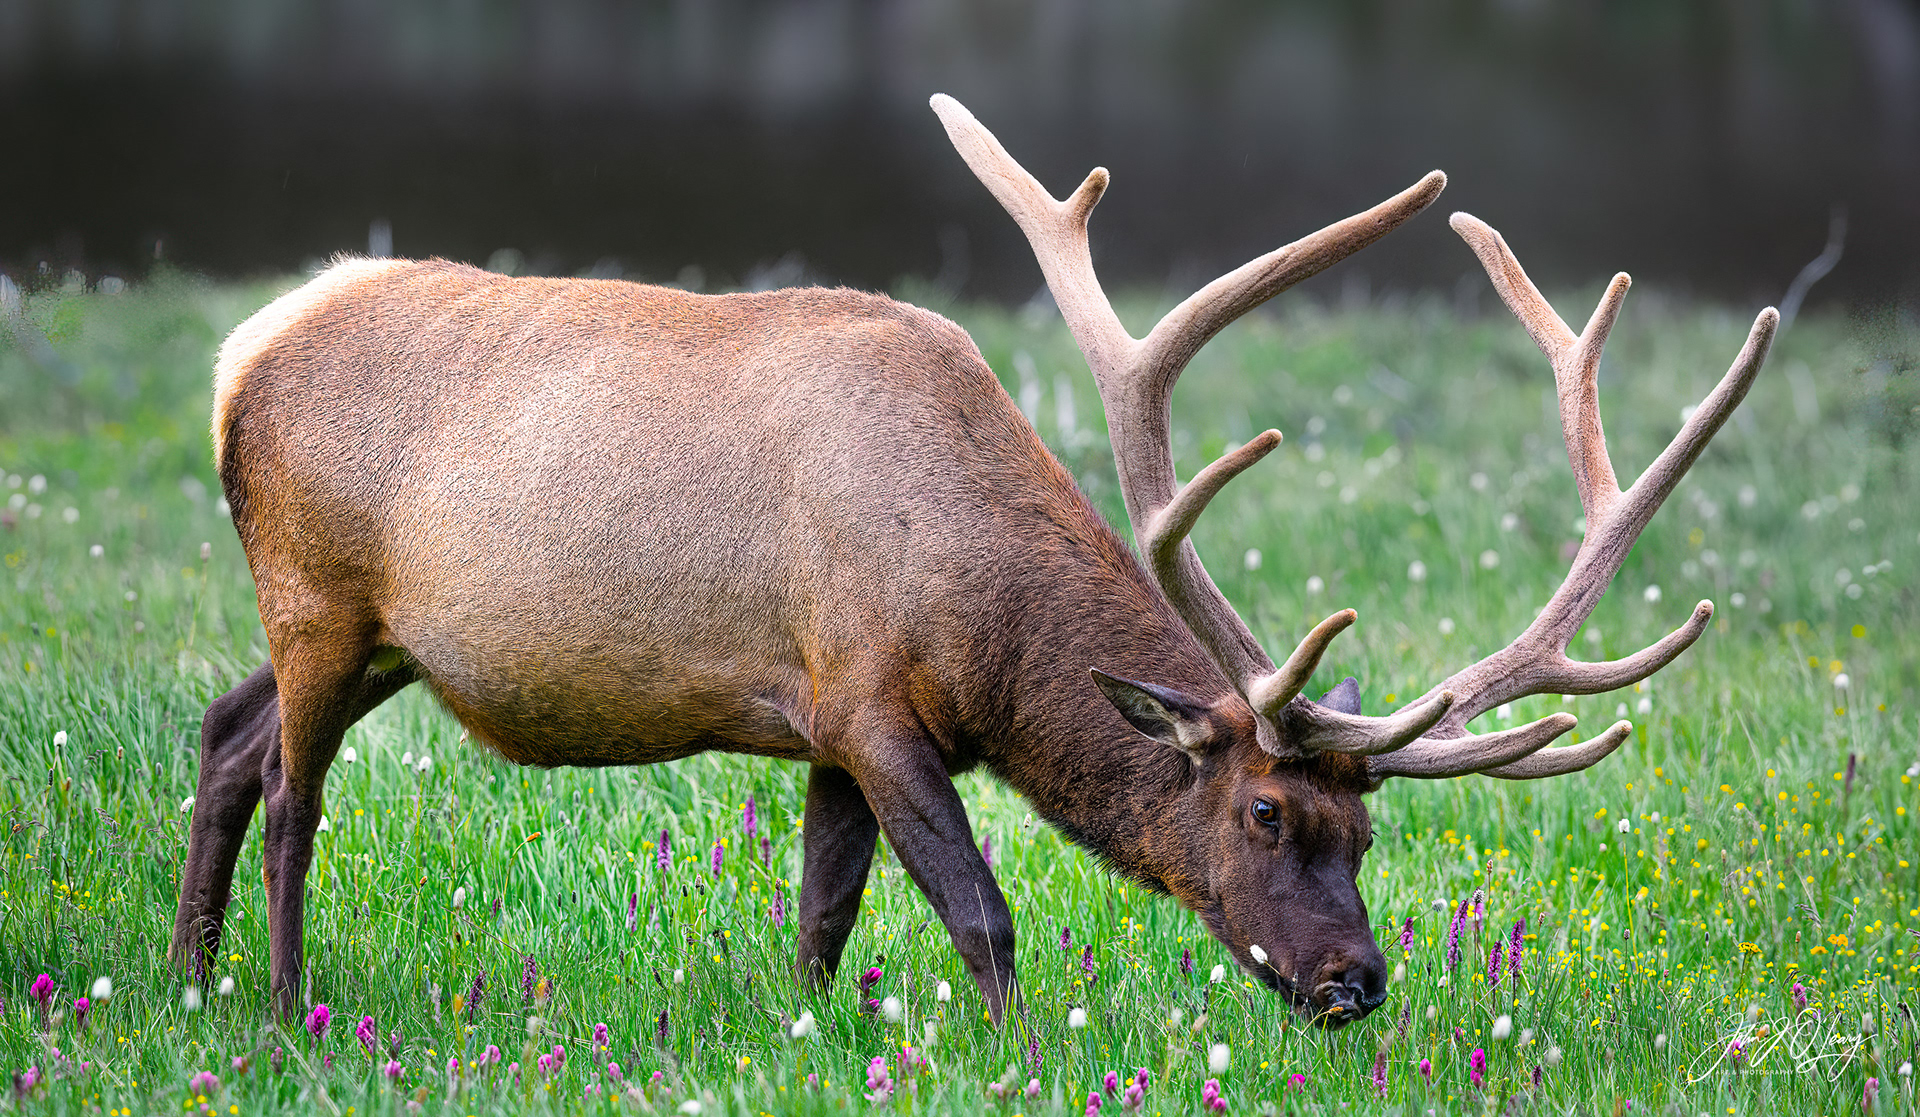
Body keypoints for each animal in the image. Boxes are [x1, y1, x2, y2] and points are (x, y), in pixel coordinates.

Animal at [170, 93, 1777, 1029]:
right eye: (1266, 812)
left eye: (1367, 836)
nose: (1355, 983)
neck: (977, 619)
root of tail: (239, 358)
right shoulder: (873, 699)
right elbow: (978, 911)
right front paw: (1010, 1055)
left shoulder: (823, 722)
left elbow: (822, 917)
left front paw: (808, 1035)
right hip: (318, 592)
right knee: (296, 790)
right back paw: (284, 1004)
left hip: (381, 633)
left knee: (225, 732)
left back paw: (188, 975)